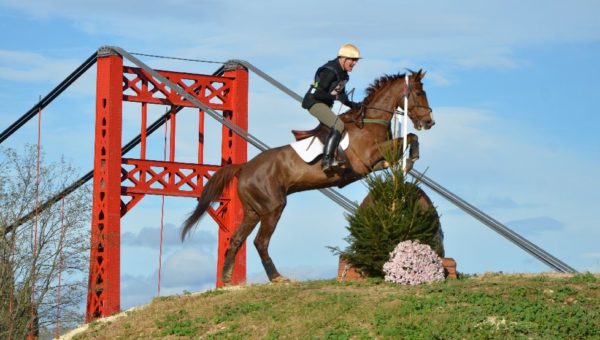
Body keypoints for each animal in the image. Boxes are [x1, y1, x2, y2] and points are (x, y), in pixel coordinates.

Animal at [180, 69, 434, 284]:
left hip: (253, 211)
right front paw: (411, 159)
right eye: (419, 93)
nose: (429, 122)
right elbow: (408, 138)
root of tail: (245, 167)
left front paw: (406, 165)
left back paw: (226, 281)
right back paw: (277, 278)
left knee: (236, 240)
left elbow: (406, 140)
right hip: (272, 207)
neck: (370, 121)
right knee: (260, 242)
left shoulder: (377, 163)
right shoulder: (367, 159)